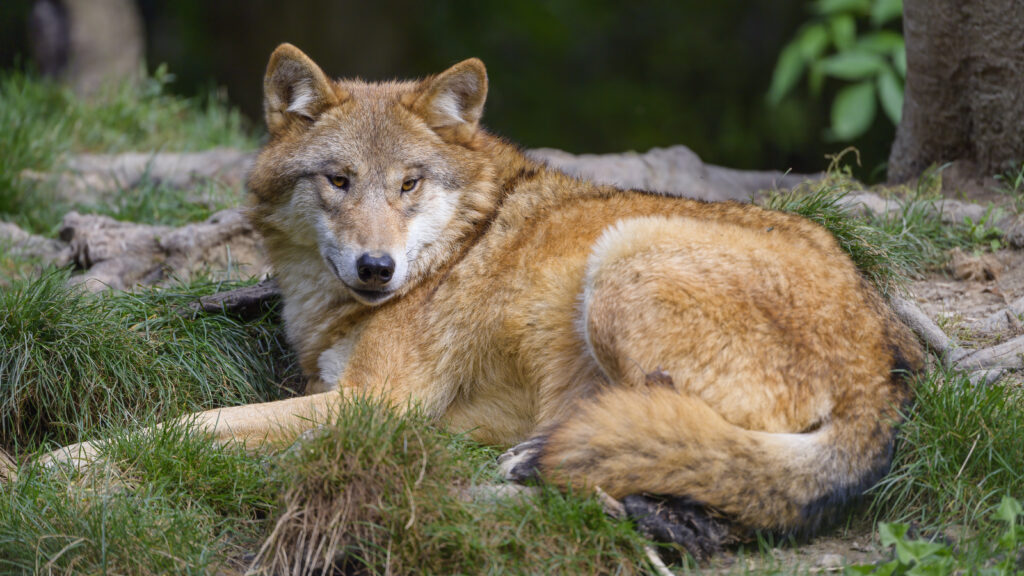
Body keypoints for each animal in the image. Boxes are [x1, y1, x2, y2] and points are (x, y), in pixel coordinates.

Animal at [52, 44, 923, 555]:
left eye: (409, 184)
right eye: (339, 180)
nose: (376, 267)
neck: (455, 244)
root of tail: (884, 363)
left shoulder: (372, 406)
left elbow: (187, 426)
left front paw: (61, 465)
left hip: (621, 259)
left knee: (674, 435)